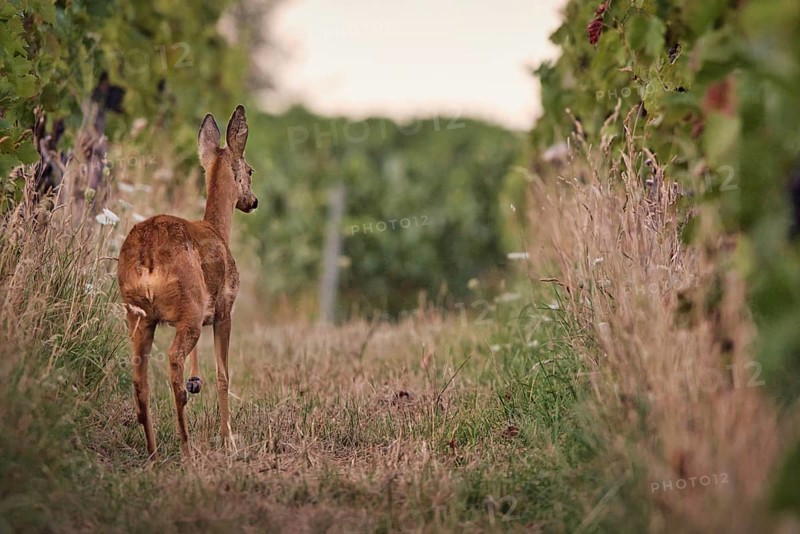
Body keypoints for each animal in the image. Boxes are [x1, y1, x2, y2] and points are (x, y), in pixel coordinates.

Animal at [117, 105, 257, 460]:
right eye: (251, 170)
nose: (253, 201)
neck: (218, 231)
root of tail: (148, 256)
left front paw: (198, 382)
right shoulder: (223, 309)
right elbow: (223, 375)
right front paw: (228, 439)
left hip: (137, 313)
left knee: (140, 378)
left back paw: (153, 452)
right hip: (187, 308)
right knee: (173, 361)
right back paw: (186, 449)